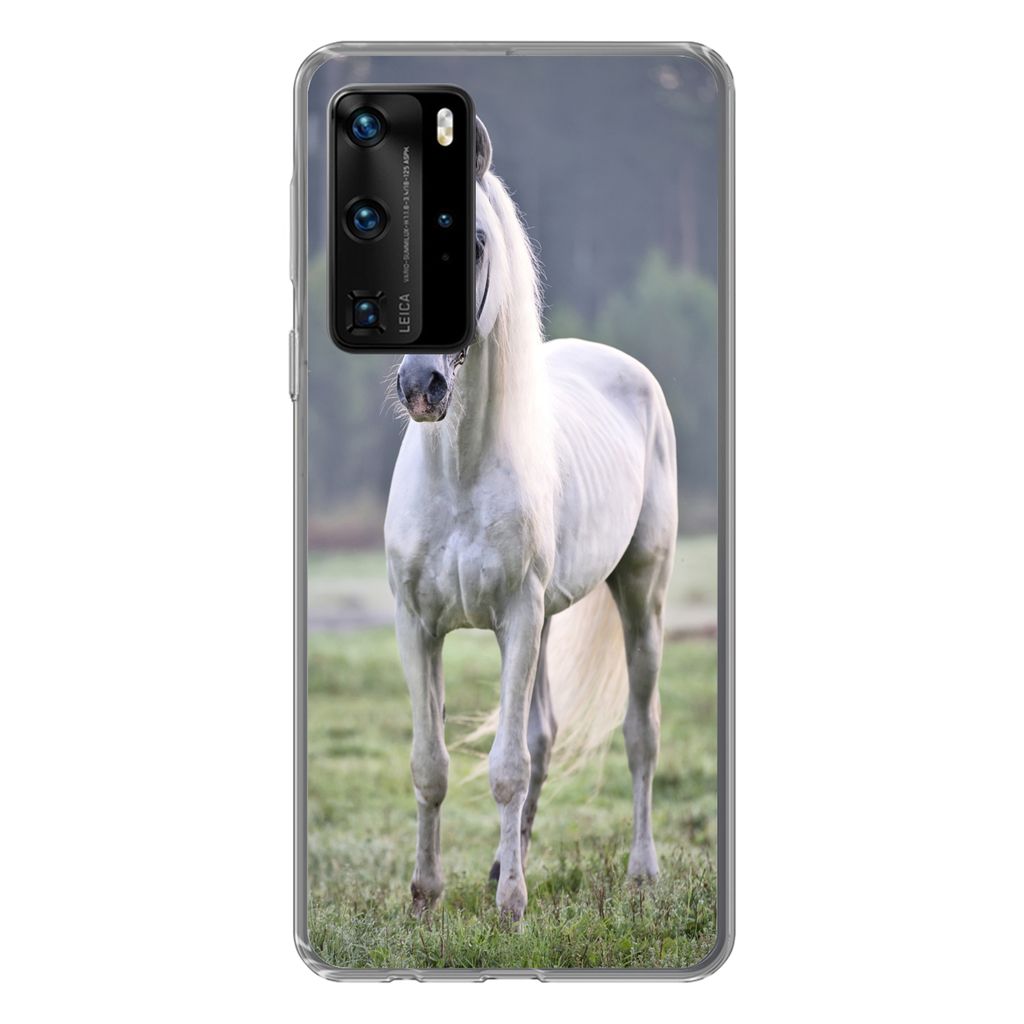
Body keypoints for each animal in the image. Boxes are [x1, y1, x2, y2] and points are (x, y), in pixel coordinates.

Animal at [384, 118, 678, 921]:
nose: (421, 385)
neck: (459, 473)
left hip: (638, 595)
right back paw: (498, 864)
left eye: (478, 244)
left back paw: (641, 871)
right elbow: (430, 764)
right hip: (545, 619)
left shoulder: (515, 618)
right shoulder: (419, 625)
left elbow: (507, 768)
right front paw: (426, 896)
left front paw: (512, 908)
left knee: (639, 735)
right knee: (544, 736)